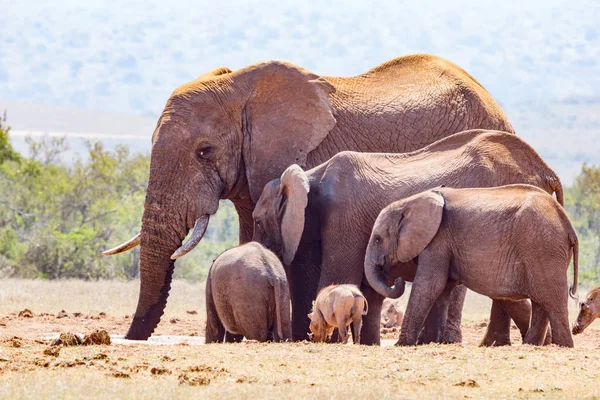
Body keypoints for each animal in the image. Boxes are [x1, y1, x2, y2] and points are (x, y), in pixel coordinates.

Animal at [364, 184, 580, 346]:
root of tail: (568, 224)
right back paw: (531, 346)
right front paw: (431, 343)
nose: (397, 279)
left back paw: (563, 346)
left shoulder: (438, 240)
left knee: (552, 300)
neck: (409, 202)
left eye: (378, 239)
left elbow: (430, 285)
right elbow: (442, 289)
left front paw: (402, 345)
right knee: (541, 302)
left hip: (543, 248)